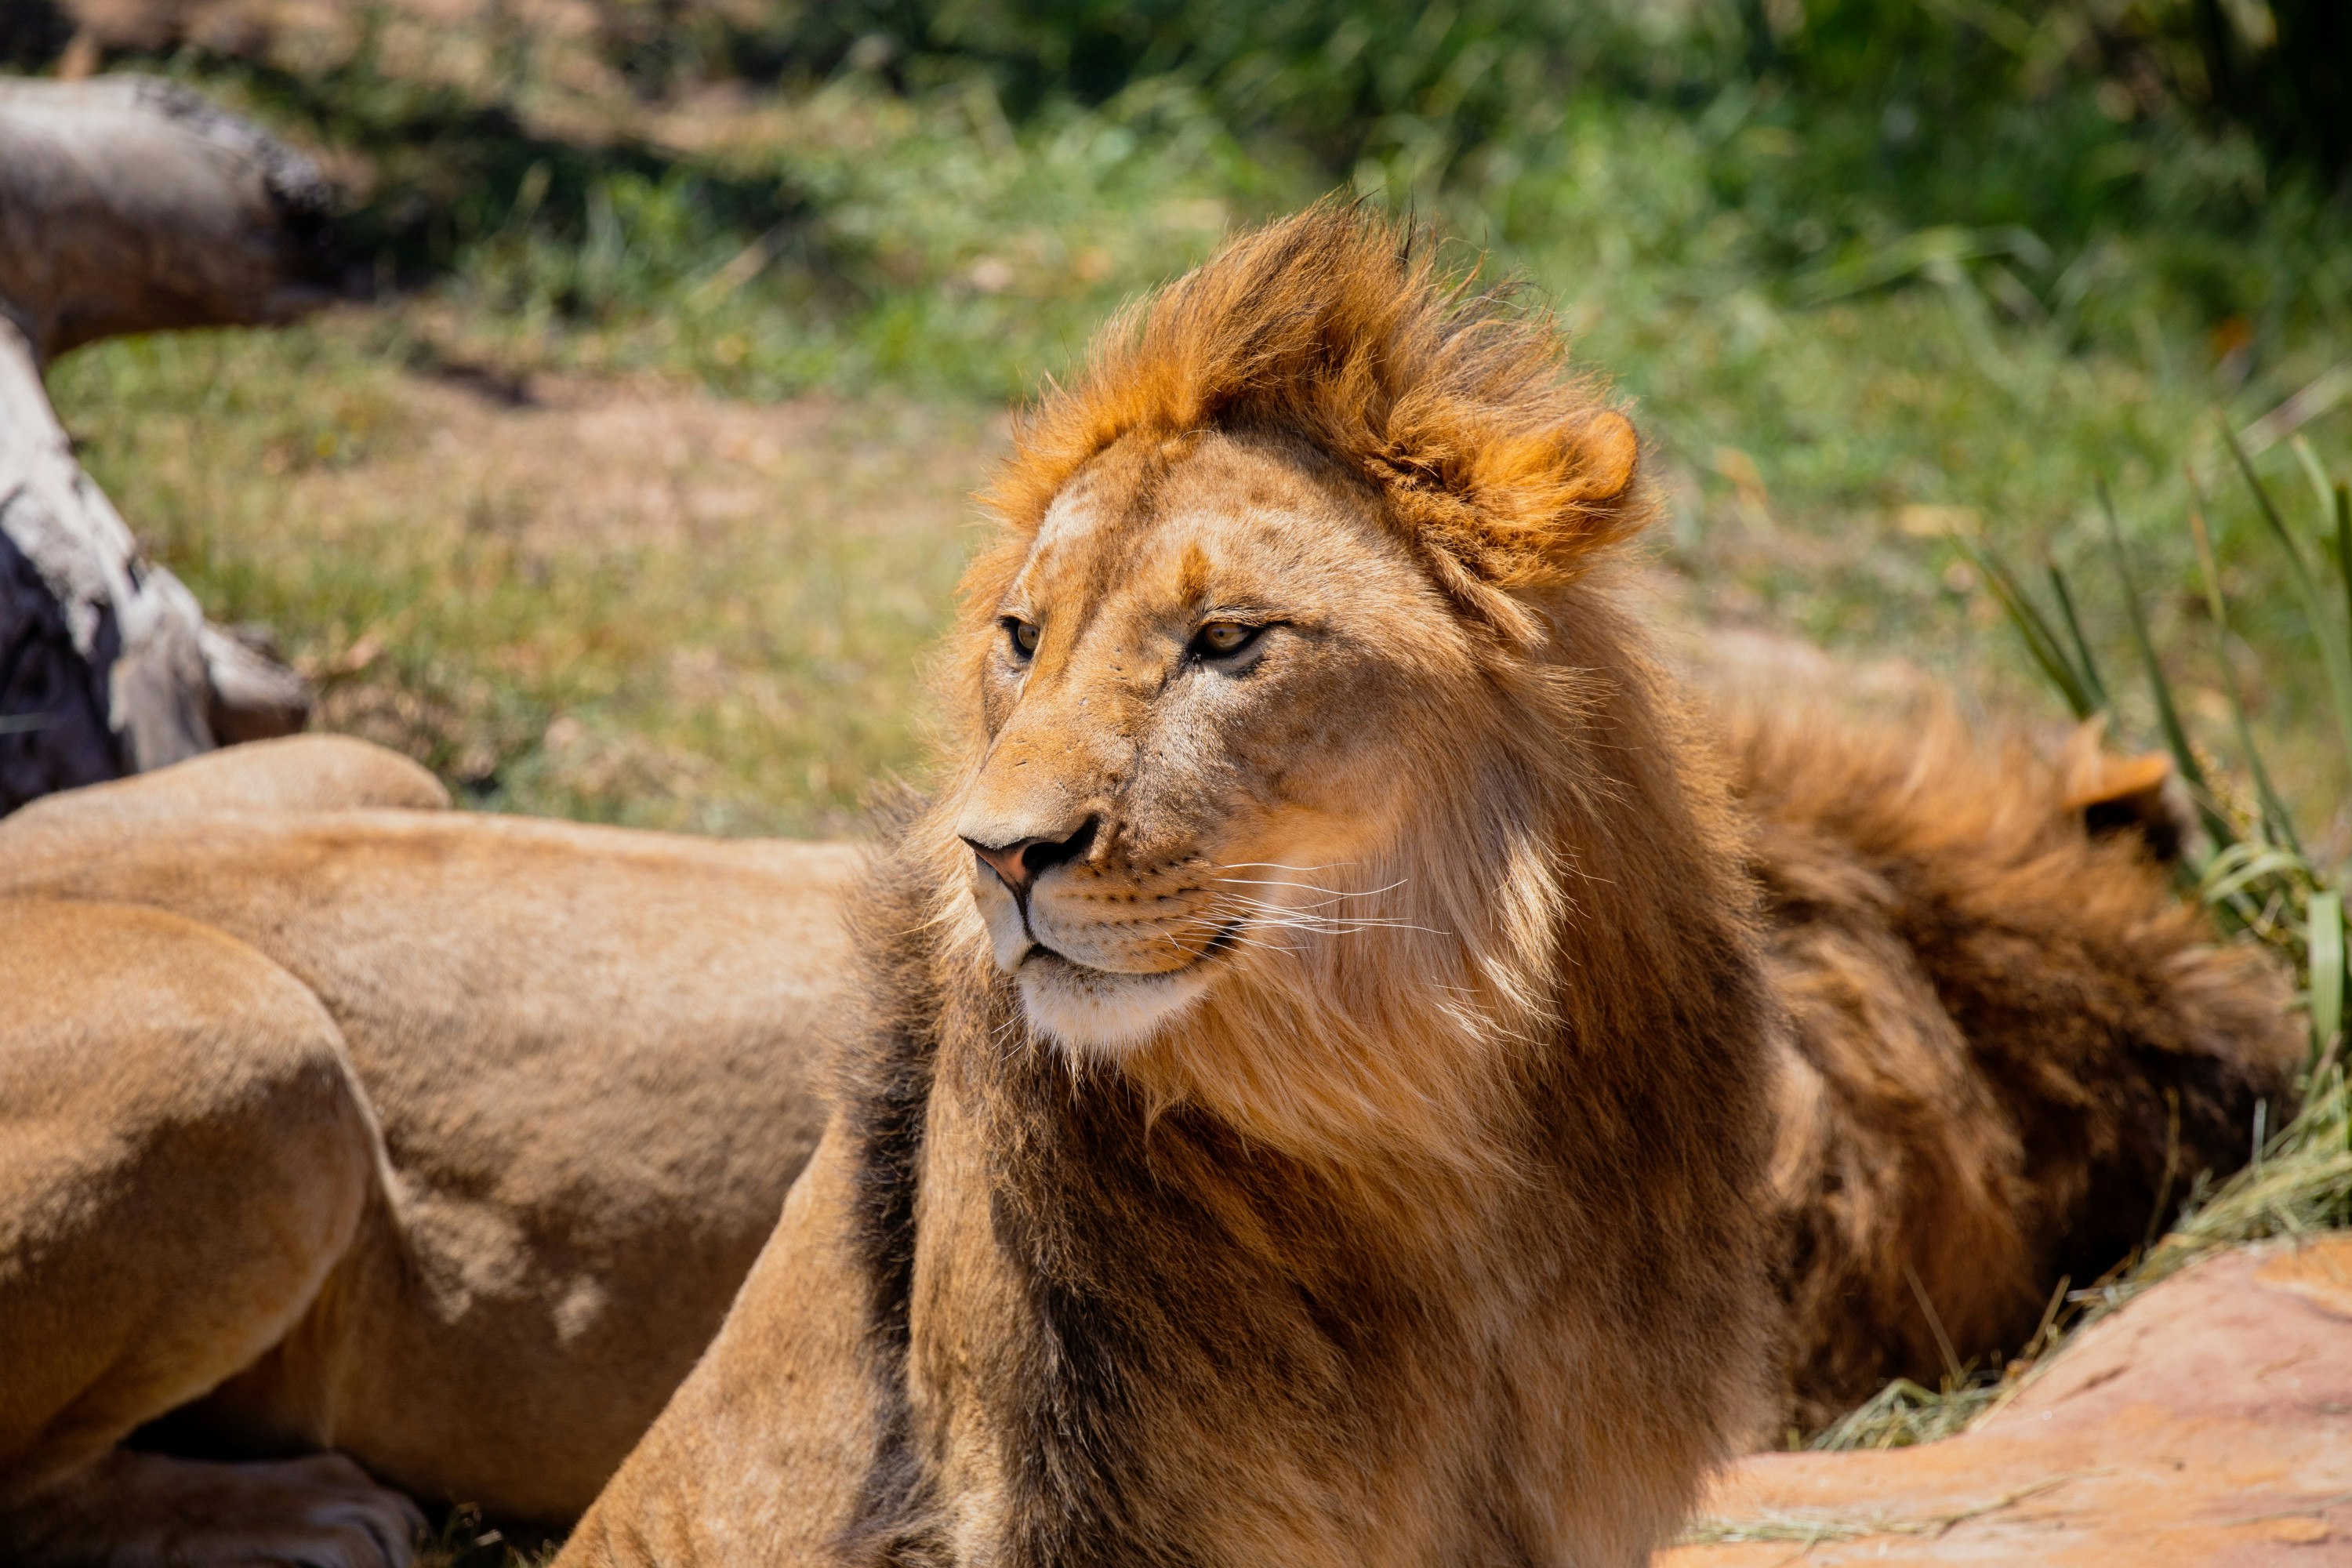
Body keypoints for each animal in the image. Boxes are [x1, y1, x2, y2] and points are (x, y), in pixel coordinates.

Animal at [0, 207, 2296, 1566]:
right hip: (251, 1048)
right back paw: (313, 1516)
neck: (1434, 1125)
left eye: (1225, 646)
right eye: (1023, 639)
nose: (996, 852)